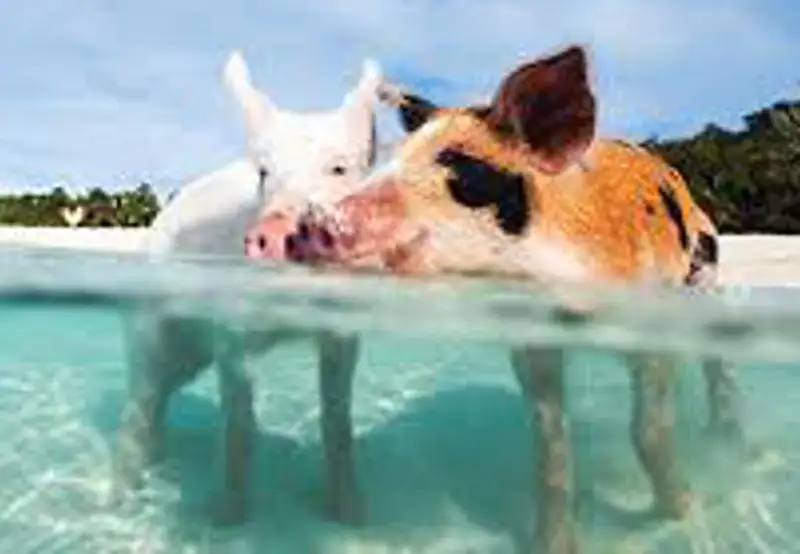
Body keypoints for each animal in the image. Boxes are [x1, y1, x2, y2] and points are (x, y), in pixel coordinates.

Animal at [112, 50, 383, 526]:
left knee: (160, 397)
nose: (272, 231)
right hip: (149, 323)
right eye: (264, 172)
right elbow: (240, 423)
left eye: (339, 167)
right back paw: (118, 503)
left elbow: (337, 420)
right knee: (139, 402)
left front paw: (351, 515)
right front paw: (226, 518)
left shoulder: (343, 332)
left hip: (189, 357)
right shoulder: (231, 335)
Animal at [244, 45, 743, 553]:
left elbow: (648, 431)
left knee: (717, 358)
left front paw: (680, 513)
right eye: (395, 158)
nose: (305, 223)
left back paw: (725, 438)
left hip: (705, 272)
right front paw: (554, 545)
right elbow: (551, 449)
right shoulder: (532, 344)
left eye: (457, 164)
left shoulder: (651, 325)